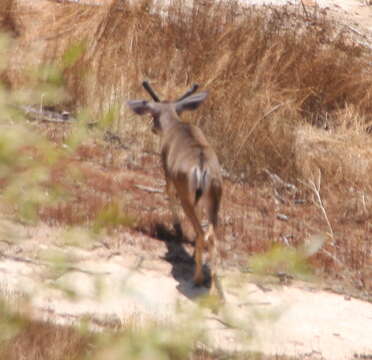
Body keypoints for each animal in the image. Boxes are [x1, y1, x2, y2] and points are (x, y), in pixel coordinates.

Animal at [127, 81, 224, 300]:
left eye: (153, 115)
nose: (153, 128)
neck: (175, 124)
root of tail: (202, 167)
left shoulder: (166, 168)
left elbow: (167, 191)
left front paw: (177, 226)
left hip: (186, 192)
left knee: (201, 232)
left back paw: (197, 278)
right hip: (216, 196)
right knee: (212, 236)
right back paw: (214, 290)